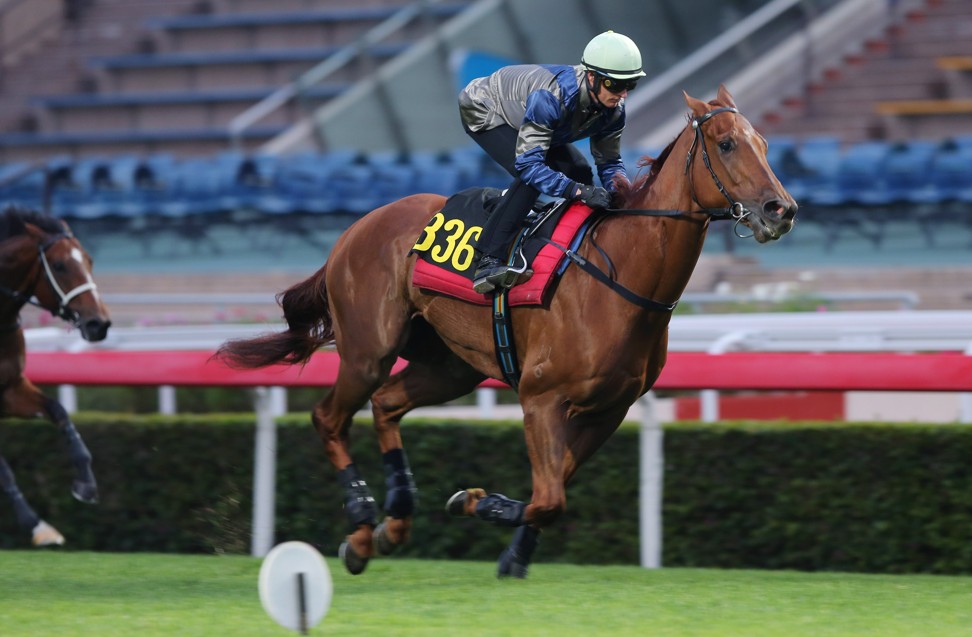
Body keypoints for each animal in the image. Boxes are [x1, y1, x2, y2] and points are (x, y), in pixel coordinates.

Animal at [0, 206, 111, 544]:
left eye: (89, 260)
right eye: (60, 265)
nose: (99, 323)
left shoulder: (9, 389)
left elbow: (59, 411)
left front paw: (86, 486)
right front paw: (39, 527)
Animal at [216, 85, 792, 576]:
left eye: (765, 144)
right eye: (726, 144)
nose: (780, 209)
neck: (620, 277)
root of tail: (356, 227)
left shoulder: (610, 408)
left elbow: (554, 488)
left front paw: (508, 545)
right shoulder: (541, 397)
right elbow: (550, 497)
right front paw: (477, 503)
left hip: (451, 366)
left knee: (386, 403)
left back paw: (394, 520)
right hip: (367, 350)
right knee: (329, 417)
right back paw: (361, 524)